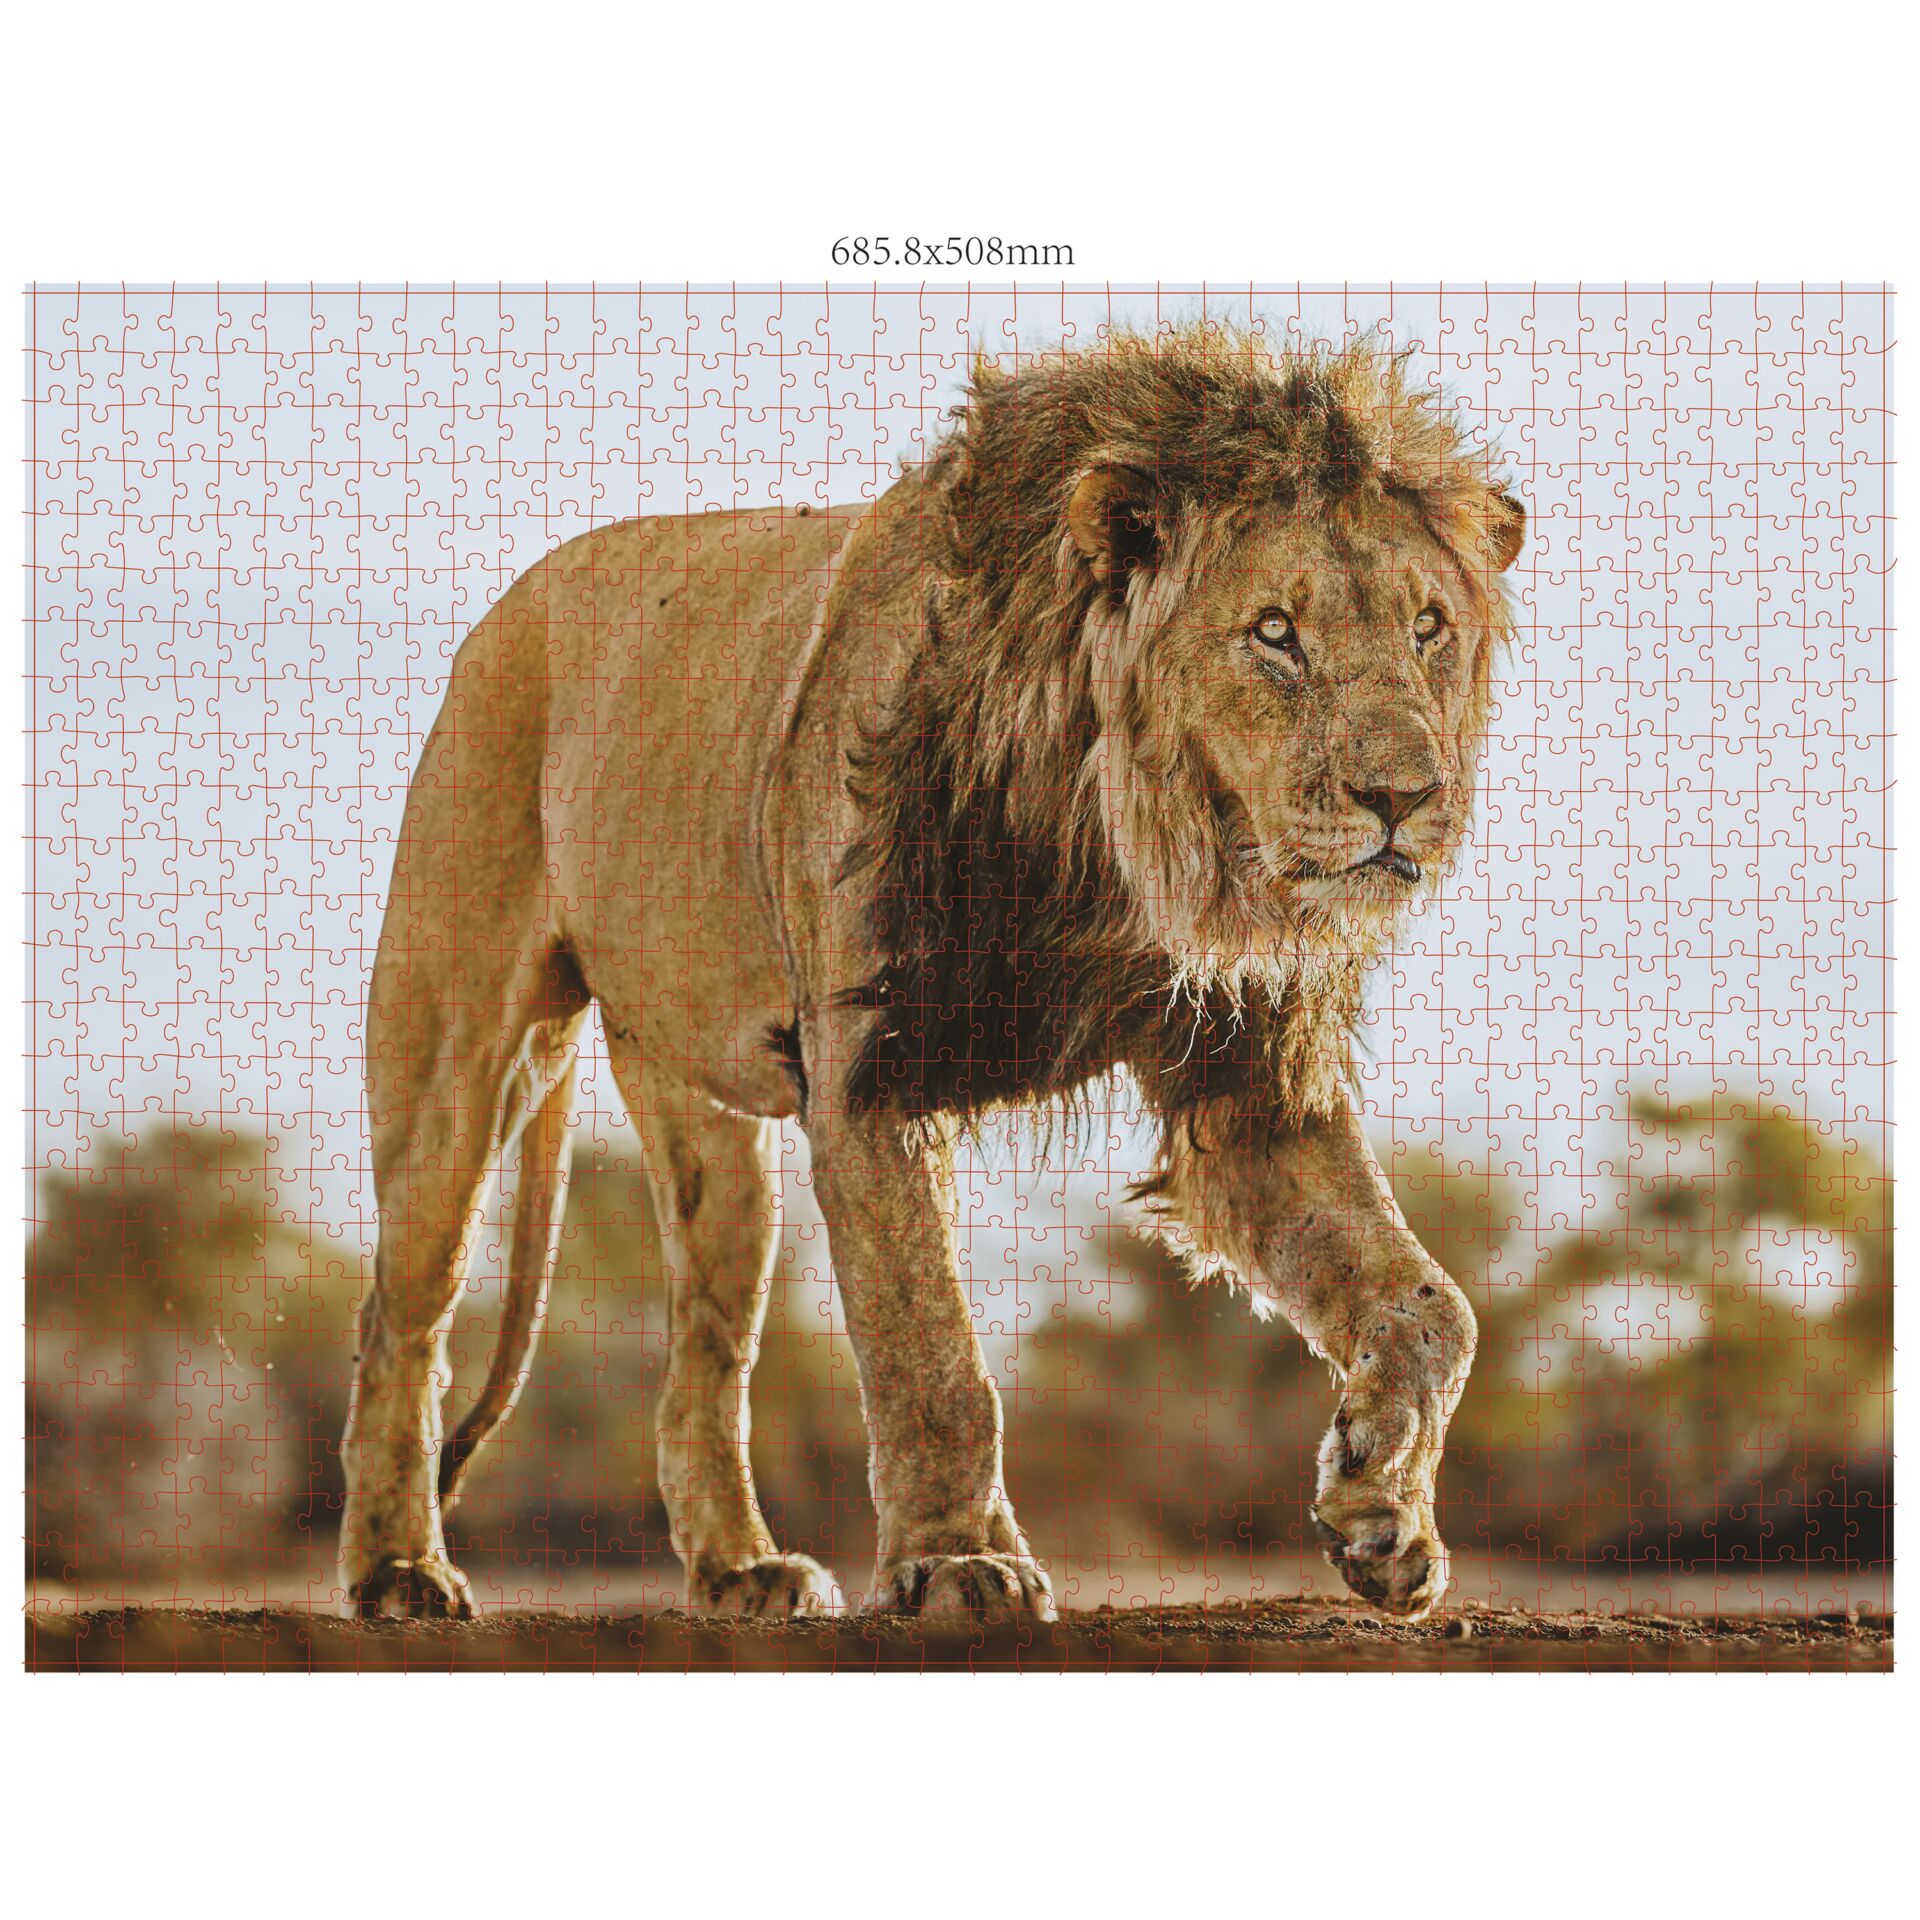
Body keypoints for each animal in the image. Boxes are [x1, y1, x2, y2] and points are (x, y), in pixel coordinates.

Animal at [339, 329, 1525, 1625]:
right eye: (1274, 632)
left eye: (1426, 627)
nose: (1405, 798)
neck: (1116, 850)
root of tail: (514, 598)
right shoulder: (873, 1067)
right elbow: (933, 1348)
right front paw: (958, 1563)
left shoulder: (1248, 1086)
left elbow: (1433, 1304)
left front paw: (1380, 1508)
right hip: (462, 1048)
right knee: (404, 1311)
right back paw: (398, 1569)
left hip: (713, 1138)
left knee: (706, 1351)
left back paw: (740, 1570)